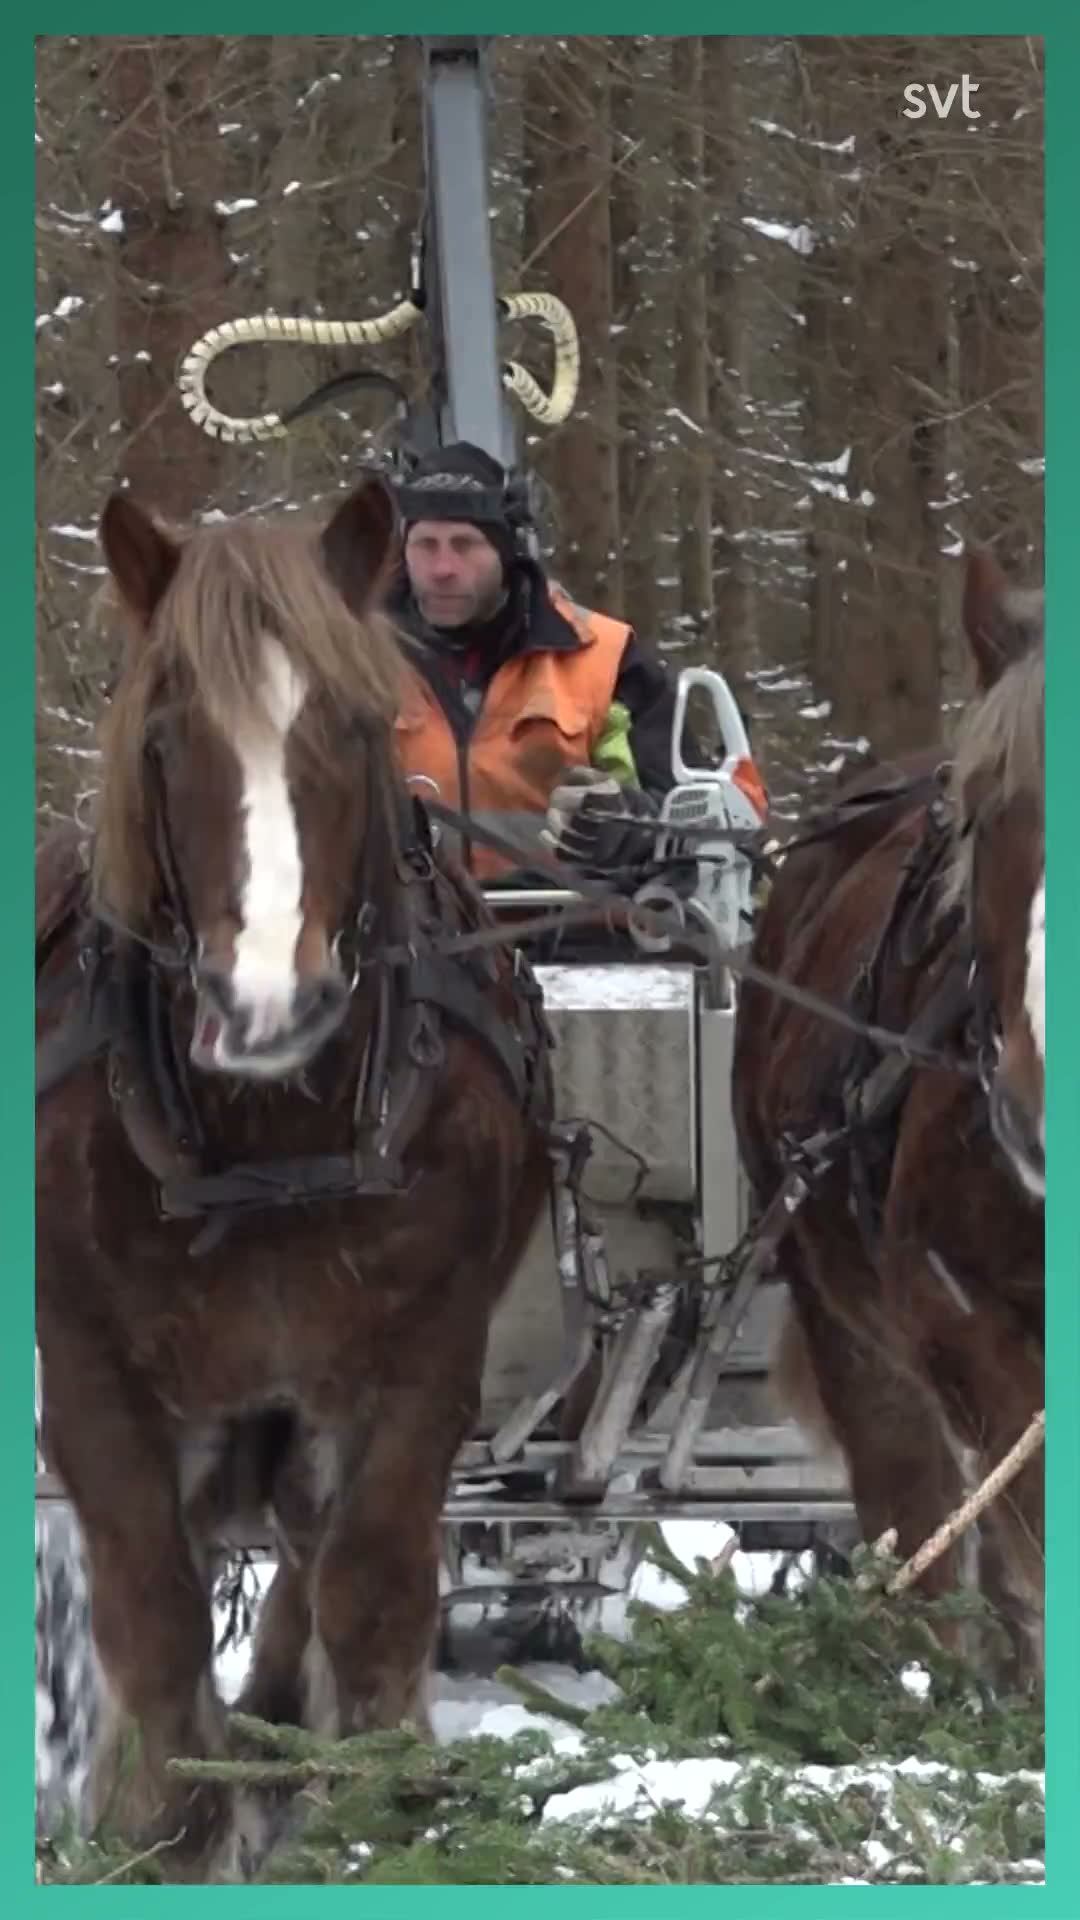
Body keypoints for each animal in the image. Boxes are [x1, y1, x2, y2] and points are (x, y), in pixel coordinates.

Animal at [34, 476, 555, 1879]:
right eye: (165, 733)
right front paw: (160, 1830)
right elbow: (150, 1618)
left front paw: (363, 1814)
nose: (272, 1000)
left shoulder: (421, 1359)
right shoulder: (87, 1371)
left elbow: (367, 1595)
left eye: (356, 722)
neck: (269, 1146)